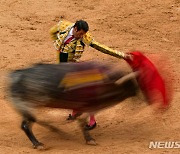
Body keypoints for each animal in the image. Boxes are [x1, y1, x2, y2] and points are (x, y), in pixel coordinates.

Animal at [7, 61, 139, 149]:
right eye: (131, 84)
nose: (140, 96)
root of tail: (15, 76)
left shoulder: (87, 107)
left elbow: (83, 120)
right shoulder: (90, 106)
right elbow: (84, 121)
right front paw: (89, 138)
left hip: (29, 106)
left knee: (34, 121)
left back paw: (57, 131)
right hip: (29, 105)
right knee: (27, 125)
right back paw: (38, 144)